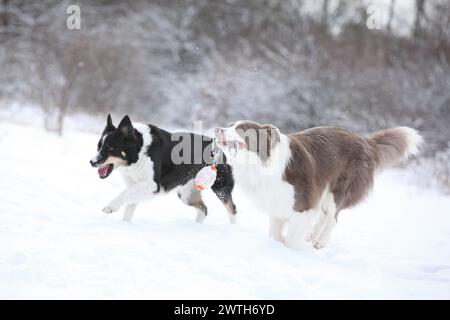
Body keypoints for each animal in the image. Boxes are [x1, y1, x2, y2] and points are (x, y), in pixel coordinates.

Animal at [90, 114, 237, 222]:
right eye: (98, 147)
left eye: (110, 148)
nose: (92, 162)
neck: (139, 150)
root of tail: (218, 146)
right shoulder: (136, 183)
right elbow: (129, 204)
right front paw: (125, 224)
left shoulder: (152, 184)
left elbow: (126, 194)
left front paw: (110, 207)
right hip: (186, 193)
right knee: (204, 209)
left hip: (220, 186)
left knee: (232, 209)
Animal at [214, 121, 422, 249]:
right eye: (230, 125)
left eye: (241, 128)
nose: (217, 129)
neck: (260, 163)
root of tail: (365, 142)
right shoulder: (277, 205)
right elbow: (275, 234)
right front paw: (279, 243)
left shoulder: (302, 203)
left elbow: (292, 237)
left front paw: (290, 249)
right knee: (324, 214)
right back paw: (311, 235)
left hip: (339, 190)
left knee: (333, 218)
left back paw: (319, 242)